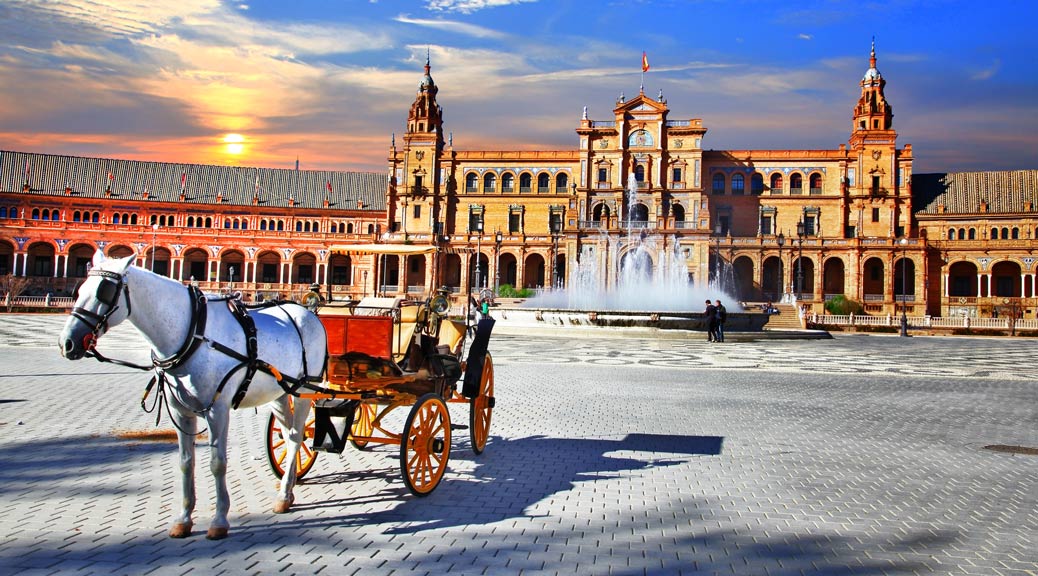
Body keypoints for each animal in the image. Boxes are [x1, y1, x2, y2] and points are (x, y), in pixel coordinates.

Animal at [58, 252, 325, 539]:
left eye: (104, 291)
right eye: (79, 290)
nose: (67, 343)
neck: (192, 333)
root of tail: (307, 313)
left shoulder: (218, 409)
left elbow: (217, 462)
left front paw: (219, 521)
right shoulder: (180, 410)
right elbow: (186, 462)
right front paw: (183, 519)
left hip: (305, 389)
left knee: (297, 436)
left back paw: (285, 492)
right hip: (278, 391)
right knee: (289, 435)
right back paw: (287, 490)